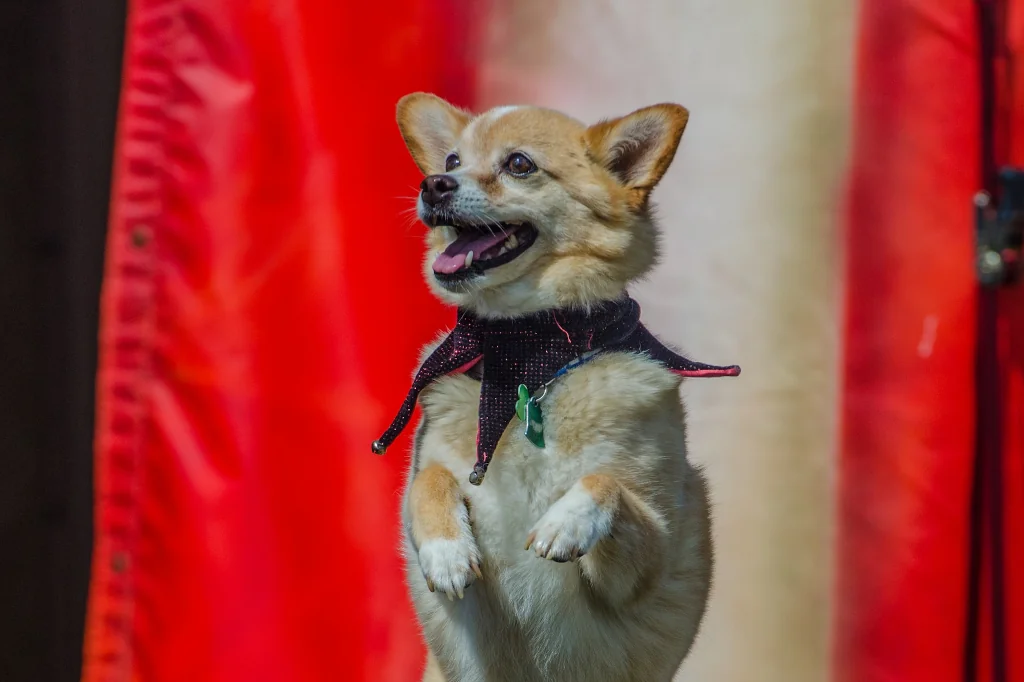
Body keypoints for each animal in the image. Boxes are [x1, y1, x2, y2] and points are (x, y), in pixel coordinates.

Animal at [385, 94, 729, 679]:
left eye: (519, 164)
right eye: (452, 161)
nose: (432, 184)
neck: (529, 354)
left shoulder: (645, 568)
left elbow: (605, 482)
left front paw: (566, 522)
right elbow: (429, 479)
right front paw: (446, 549)